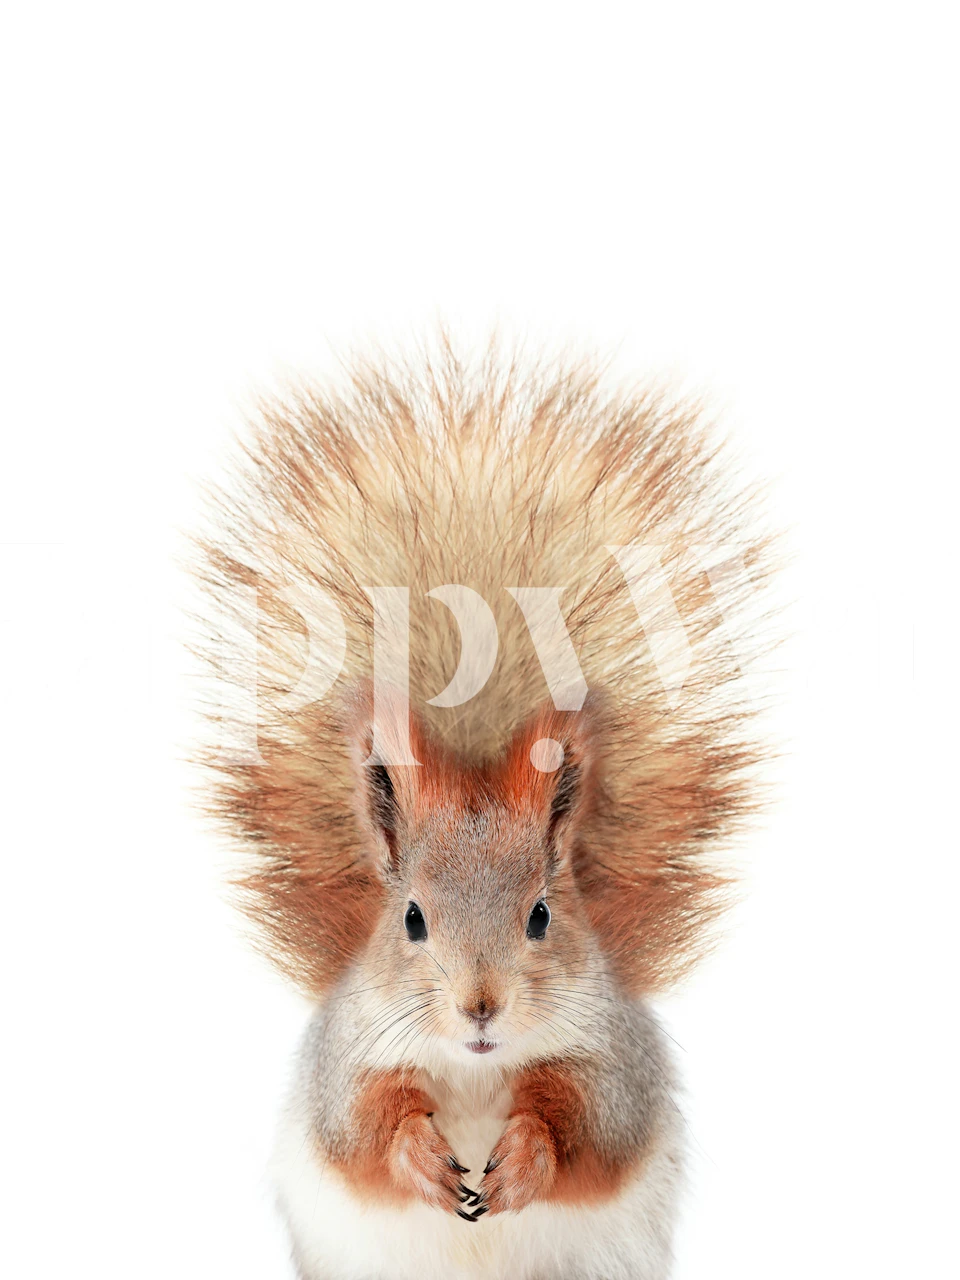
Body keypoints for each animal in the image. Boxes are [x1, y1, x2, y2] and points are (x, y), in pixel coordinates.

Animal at [193, 339, 777, 1280]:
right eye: (411, 919)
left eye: (541, 915)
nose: (480, 1006)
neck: (472, 1069)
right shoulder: (346, 1063)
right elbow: (362, 1131)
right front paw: (421, 1158)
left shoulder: (613, 1064)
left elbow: (587, 1129)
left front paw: (525, 1158)